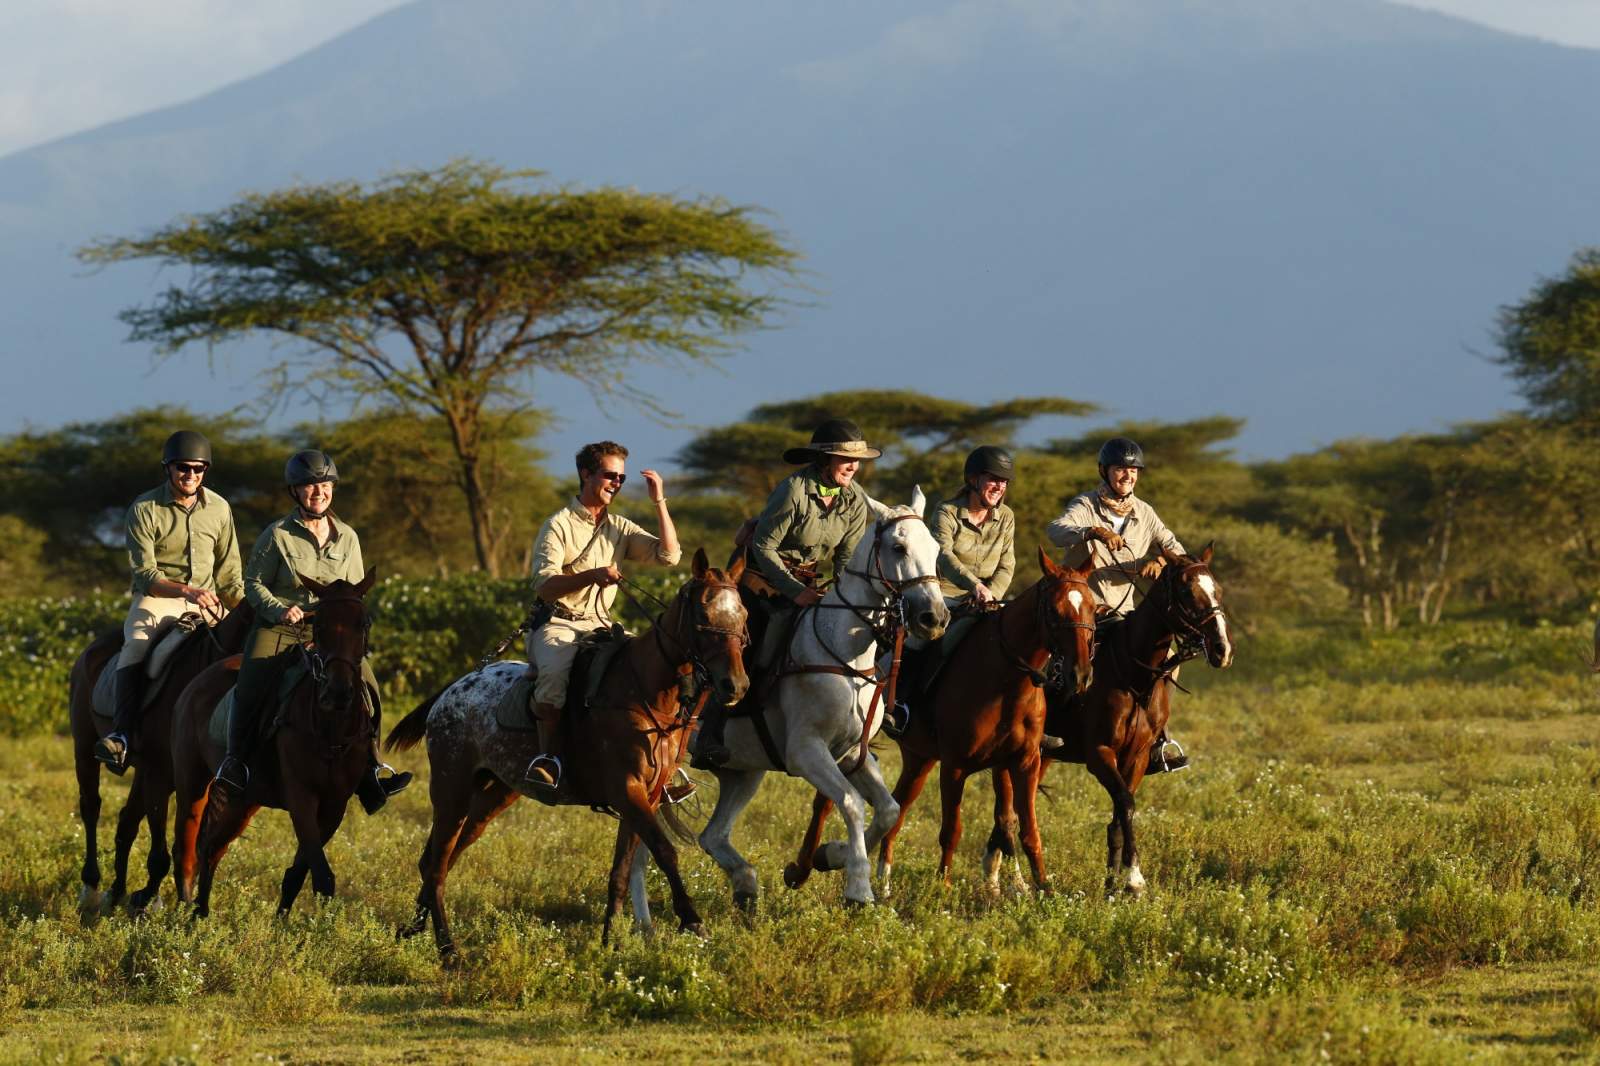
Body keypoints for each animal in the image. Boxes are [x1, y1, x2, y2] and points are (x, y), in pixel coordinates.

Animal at [67, 598, 256, 915]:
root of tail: (91, 650)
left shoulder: (192, 778)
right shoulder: (161, 772)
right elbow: (161, 849)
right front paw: (149, 900)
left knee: (126, 821)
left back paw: (116, 892)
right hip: (84, 749)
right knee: (91, 808)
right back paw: (91, 887)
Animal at [170, 573, 379, 915]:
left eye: (363, 624)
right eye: (319, 625)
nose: (337, 693)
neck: (330, 732)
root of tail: (194, 685)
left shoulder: (334, 805)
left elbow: (299, 872)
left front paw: (285, 924)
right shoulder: (301, 798)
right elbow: (322, 875)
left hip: (244, 800)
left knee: (212, 849)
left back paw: (200, 914)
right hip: (193, 784)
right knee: (186, 850)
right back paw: (186, 912)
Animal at [384, 547, 745, 953]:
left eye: (744, 614)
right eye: (703, 616)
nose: (735, 685)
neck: (643, 692)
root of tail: (448, 693)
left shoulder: (645, 798)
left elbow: (621, 869)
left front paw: (609, 940)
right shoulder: (627, 791)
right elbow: (665, 851)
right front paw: (692, 920)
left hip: (493, 794)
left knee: (440, 856)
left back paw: (414, 928)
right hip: (451, 790)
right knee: (436, 864)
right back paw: (448, 950)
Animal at [784, 547, 1100, 896]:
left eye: (1093, 608)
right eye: (1056, 611)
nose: (1080, 676)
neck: (1005, 680)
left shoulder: (1022, 762)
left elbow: (1025, 828)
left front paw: (1042, 888)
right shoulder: (955, 766)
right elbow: (952, 829)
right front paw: (943, 887)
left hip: (919, 758)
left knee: (898, 808)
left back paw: (882, 881)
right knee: (827, 803)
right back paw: (809, 865)